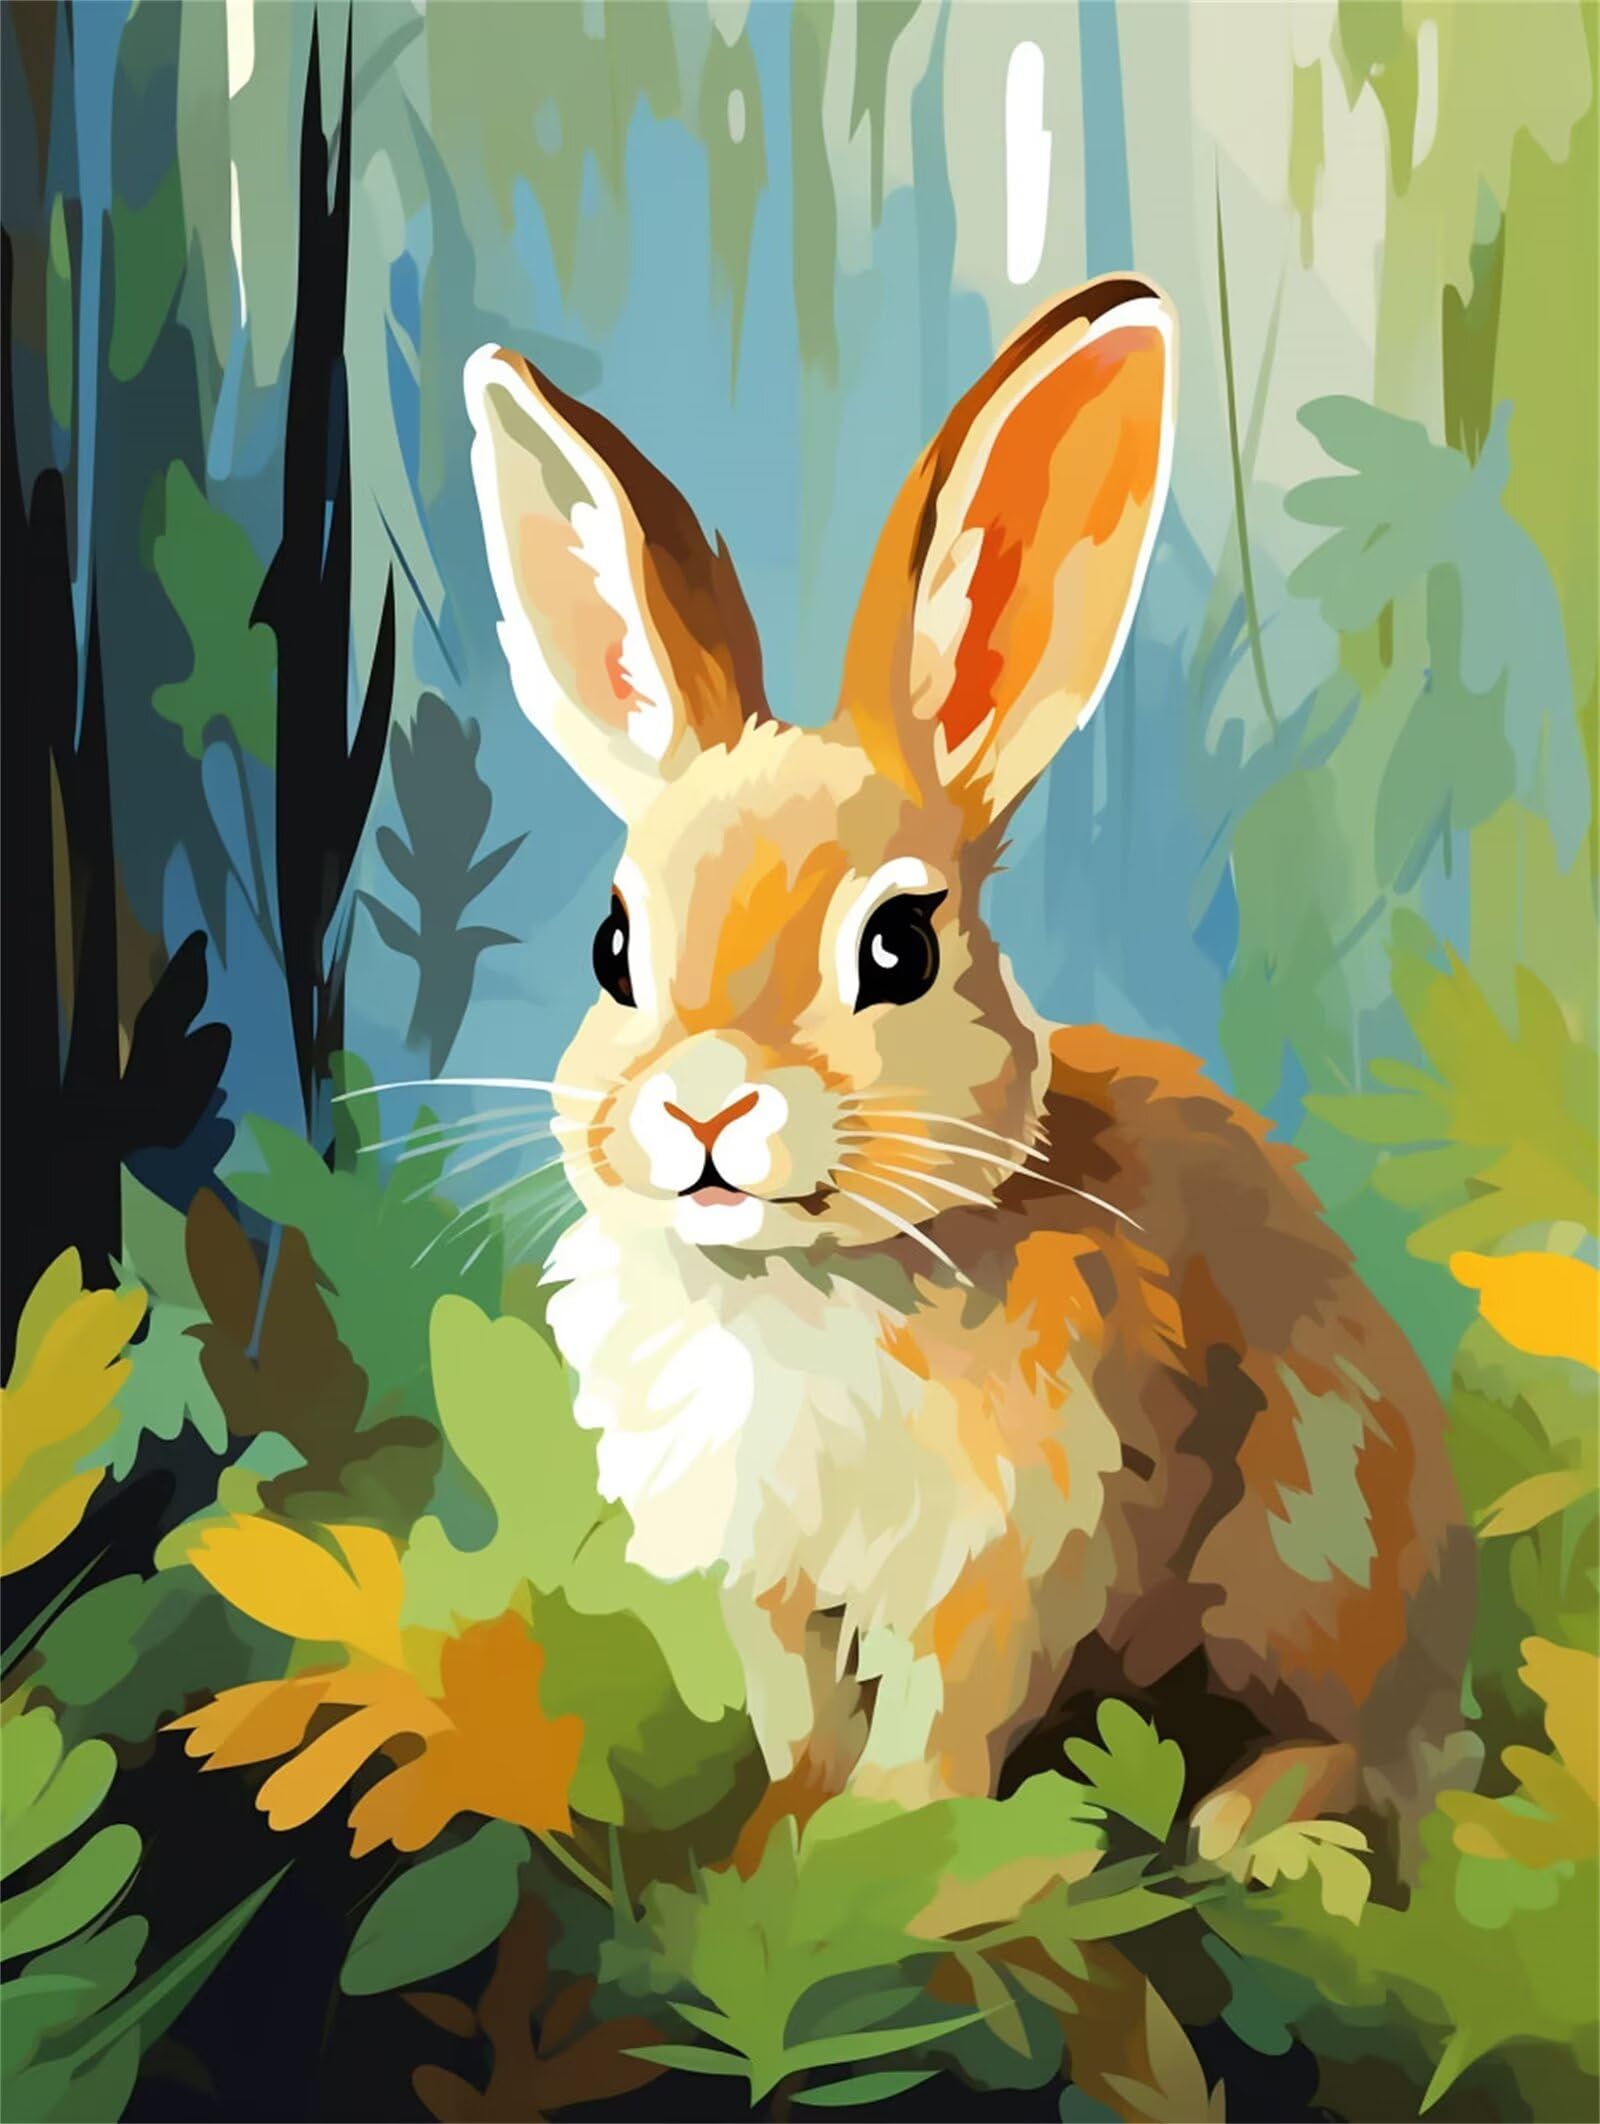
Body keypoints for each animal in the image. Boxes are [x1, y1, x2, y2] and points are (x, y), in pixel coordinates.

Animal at [463, 275, 1475, 1871]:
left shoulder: (1001, 1569)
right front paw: (769, 1852)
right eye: (612, 946)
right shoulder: (770, 1588)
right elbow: (798, 1723)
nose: (703, 1099)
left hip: (1304, 1559)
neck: (804, 1286)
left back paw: (1241, 1823)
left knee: (1350, 1745)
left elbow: (933, 1742)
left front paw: (895, 1866)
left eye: (898, 947)